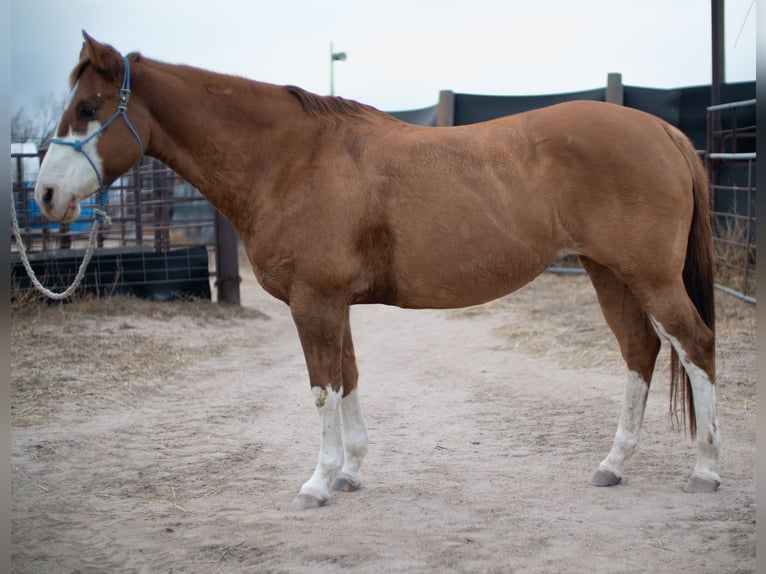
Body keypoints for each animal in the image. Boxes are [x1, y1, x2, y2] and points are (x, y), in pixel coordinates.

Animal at [34, 32, 720, 508]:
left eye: (90, 107)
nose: (44, 196)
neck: (288, 159)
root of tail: (665, 131)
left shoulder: (313, 301)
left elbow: (322, 387)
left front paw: (317, 482)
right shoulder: (333, 302)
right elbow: (349, 377)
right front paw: (351, 471)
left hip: (650, 278)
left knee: (695, 346)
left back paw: (706, 470)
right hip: (609, 273)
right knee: (640, 351)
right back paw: (614, 464)